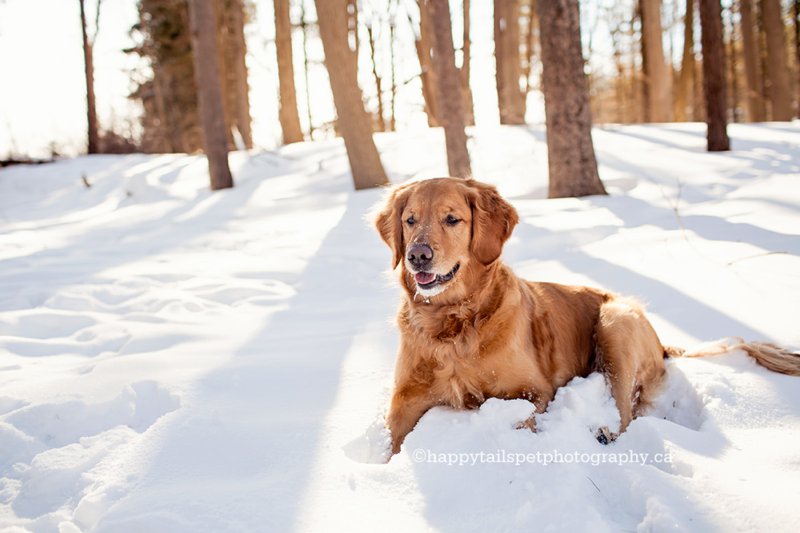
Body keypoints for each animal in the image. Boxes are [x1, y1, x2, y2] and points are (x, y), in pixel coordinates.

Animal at [376, 177, 800, 450]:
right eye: (410, 220)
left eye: (452, 219)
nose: (417, 256)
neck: (453, 322)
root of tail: (662, 342)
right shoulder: (404, 400)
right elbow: (392, 442)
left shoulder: (534, 390)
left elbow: (523, 419)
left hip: (616, 323)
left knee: (626, 411)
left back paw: (605, 433)